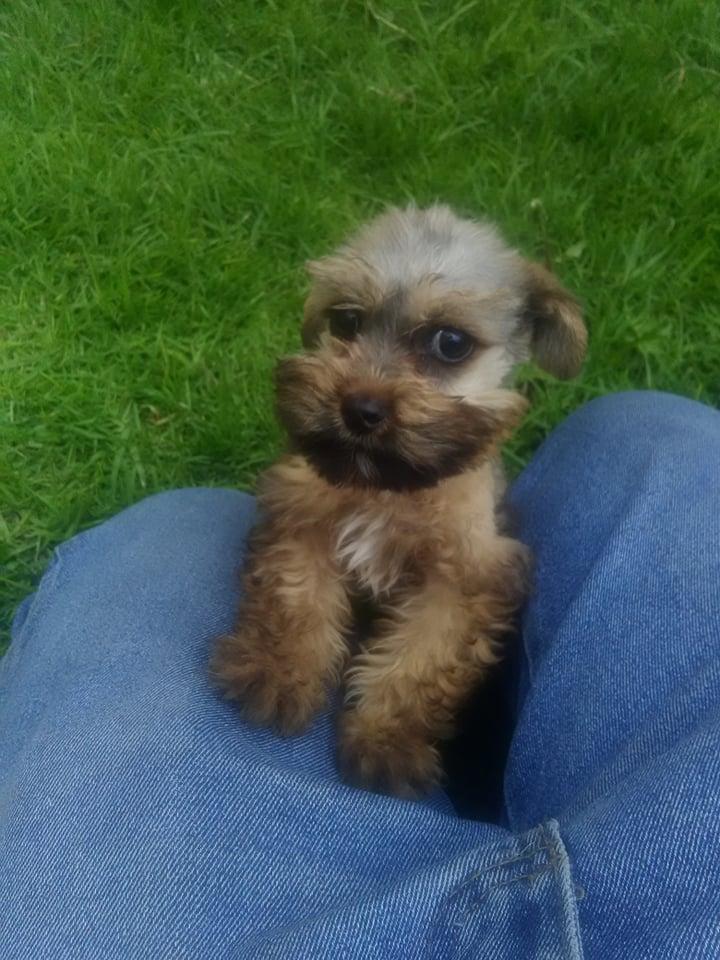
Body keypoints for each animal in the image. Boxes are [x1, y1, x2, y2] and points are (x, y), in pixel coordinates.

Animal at [210, 206, 584, 800]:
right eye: (345, 322)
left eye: (450, 342)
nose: (359, 408)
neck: (386, 491)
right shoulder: (302, 520)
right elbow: (298, 600)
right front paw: (277, 670)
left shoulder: (463, 581)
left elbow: (419, 661)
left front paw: (386, 739)